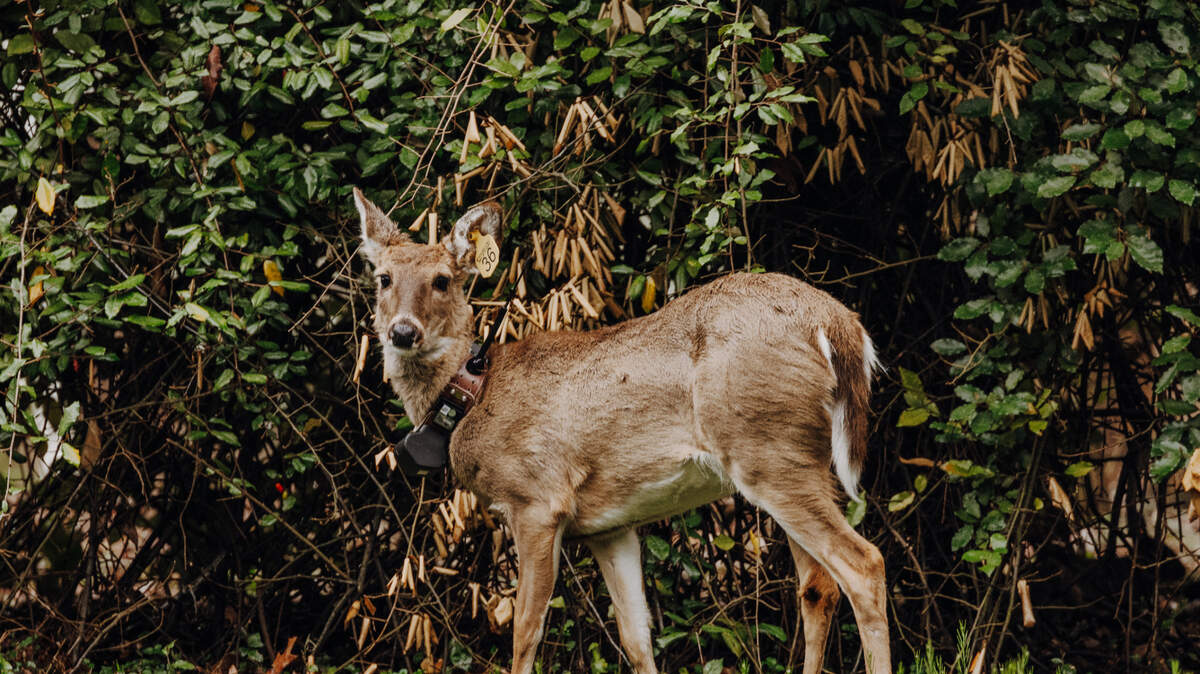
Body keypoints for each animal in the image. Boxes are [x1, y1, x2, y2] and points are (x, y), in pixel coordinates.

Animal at [353, 188, 892, 674]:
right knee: (818, 586)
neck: (476, 393)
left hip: (766, 448)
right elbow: (636, 638)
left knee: (864, 565)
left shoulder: (538, 501)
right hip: (797, 457)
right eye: (383, 278)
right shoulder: (609, 527)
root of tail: (840, 325)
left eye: (443, 280)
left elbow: (526, 632)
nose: (402, 331)